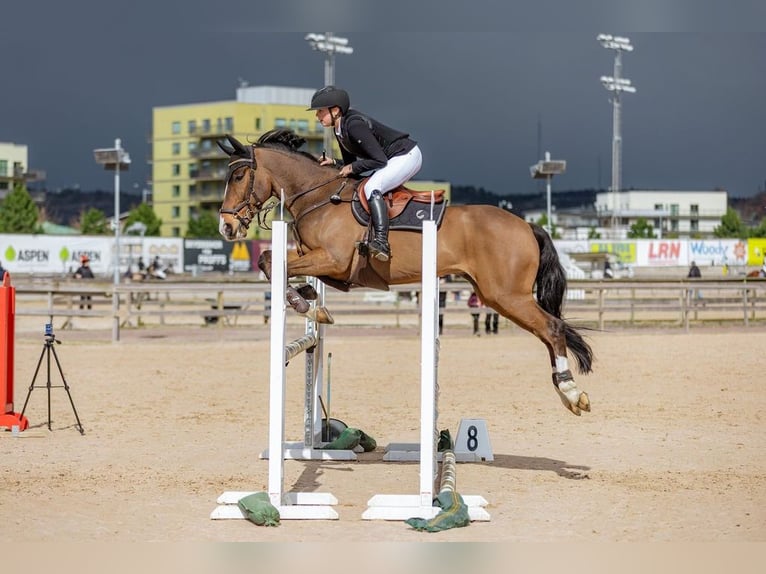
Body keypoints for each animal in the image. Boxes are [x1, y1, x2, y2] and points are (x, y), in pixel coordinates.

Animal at [219, 132, 596, 416]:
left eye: (238, 176)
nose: (226, 227)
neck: (321, 198)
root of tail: (528, 225)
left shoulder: (333, 259)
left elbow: (270, 262)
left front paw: (306, 306)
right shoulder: (314, 258)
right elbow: (271, 260)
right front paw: (311, 302)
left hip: (506, 295)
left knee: (552, 328)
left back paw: (570, 392)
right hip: (499, 296)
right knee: (549, 332)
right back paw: (566, 390)